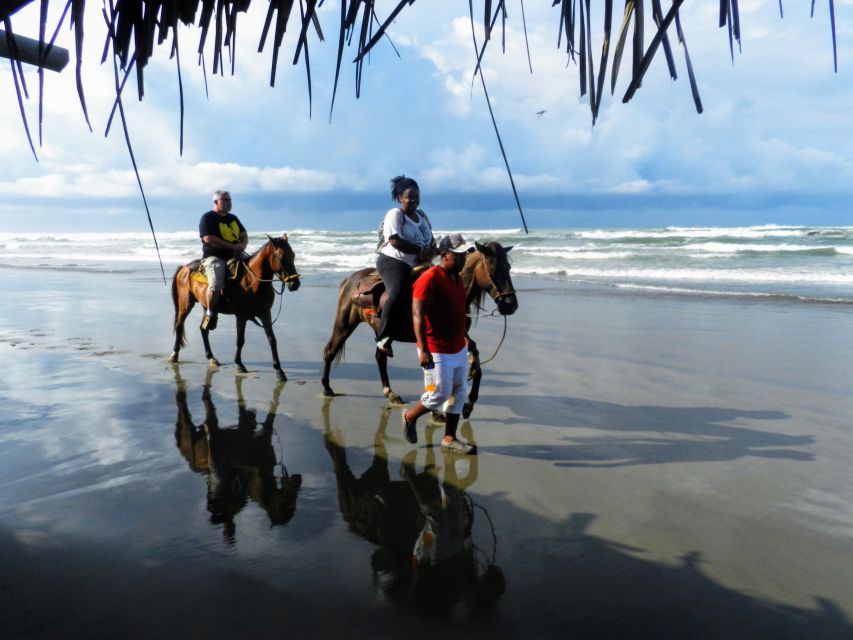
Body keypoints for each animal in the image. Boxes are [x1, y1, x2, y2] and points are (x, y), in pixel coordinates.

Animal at [167, 234, 300, 380]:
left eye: (293, 255)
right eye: (281, 257)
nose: (295, 284)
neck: (252, 282)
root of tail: (184, 267)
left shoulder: (265, 314)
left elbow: (272, 340)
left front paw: (279, 370)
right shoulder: (241, 316)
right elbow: (240, 340)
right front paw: (240, 364)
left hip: (206, 306)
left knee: (203, 329)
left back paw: (211, 358)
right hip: (185, 304)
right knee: (179, 326)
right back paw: (174, 355)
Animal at [322, 239, 516, 416]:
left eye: (508, 268)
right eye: (494, 269)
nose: (510, 305)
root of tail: (350, 280)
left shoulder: (457, 336)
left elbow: (474, 359)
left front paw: (467, 403)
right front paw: (446, 408)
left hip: (382, 332)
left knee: (380, 356)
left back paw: (390, 393)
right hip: (344, 324)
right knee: (330, 350)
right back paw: (327, 388)